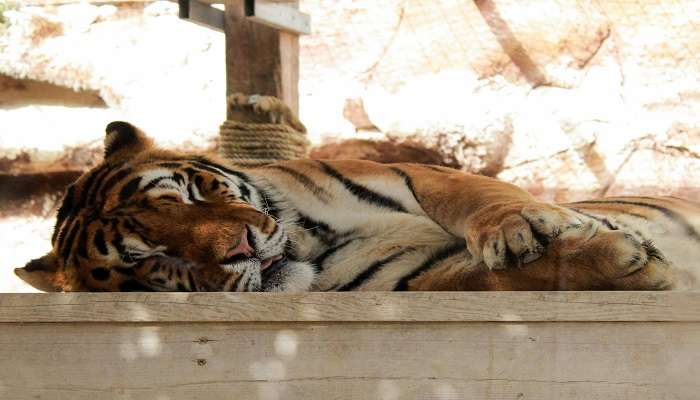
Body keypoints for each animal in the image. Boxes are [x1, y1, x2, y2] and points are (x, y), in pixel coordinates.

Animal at [15, 98, 700, 292]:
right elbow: (496, 277)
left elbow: (477, 200)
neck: (314, 241)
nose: (240, 249)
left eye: (183, 196)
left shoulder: (414, 173)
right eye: (153, 260)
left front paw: (521, 226)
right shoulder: (413, 279)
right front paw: (624, 260)